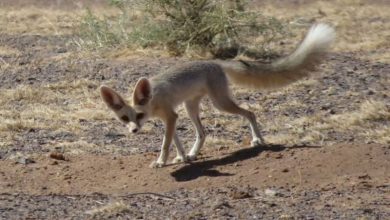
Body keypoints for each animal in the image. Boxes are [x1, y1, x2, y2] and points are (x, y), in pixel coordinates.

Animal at [100, 23, 336, 168]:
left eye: (138, 115)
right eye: (125, 118)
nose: (133, 130)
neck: (153, 98)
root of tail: (214, 62)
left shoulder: (171, 116)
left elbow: (165, 143)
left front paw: (161, 162)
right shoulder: (170, 118)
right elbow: (175, 141)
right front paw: (182, 157)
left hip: (220, 104)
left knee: (250, 113)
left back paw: (257, 140)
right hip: (190, 107)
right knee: (203, 133)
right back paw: (193, 153)